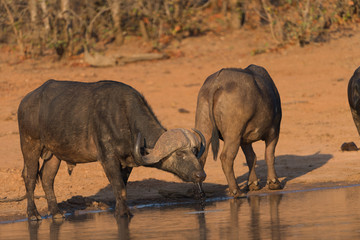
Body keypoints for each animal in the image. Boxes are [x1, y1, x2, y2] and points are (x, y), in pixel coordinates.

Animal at [18, 79, 207, 220]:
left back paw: (56, 213)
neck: (124, 117)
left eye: (194, 151)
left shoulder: (128, 162)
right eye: (180, 153)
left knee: (47, 177)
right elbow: (118, 186)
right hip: (30, 145)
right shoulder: (107, 158)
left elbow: (122, 187)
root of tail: (26, 101)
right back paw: (33, 214)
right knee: (30, 176)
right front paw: (122, 213)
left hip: (54, 154)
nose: (201, 175)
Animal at [194, 64, 282, 198]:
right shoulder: (274, 132)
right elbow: (269, 155)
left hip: (204, 127)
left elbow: (251, 157)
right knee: (226, 158)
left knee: (200, 157)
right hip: (233, 134)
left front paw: (253, 183)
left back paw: (200, 192)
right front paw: (274, 182)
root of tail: (217, 83)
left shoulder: (244, 140)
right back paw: (236, 190)